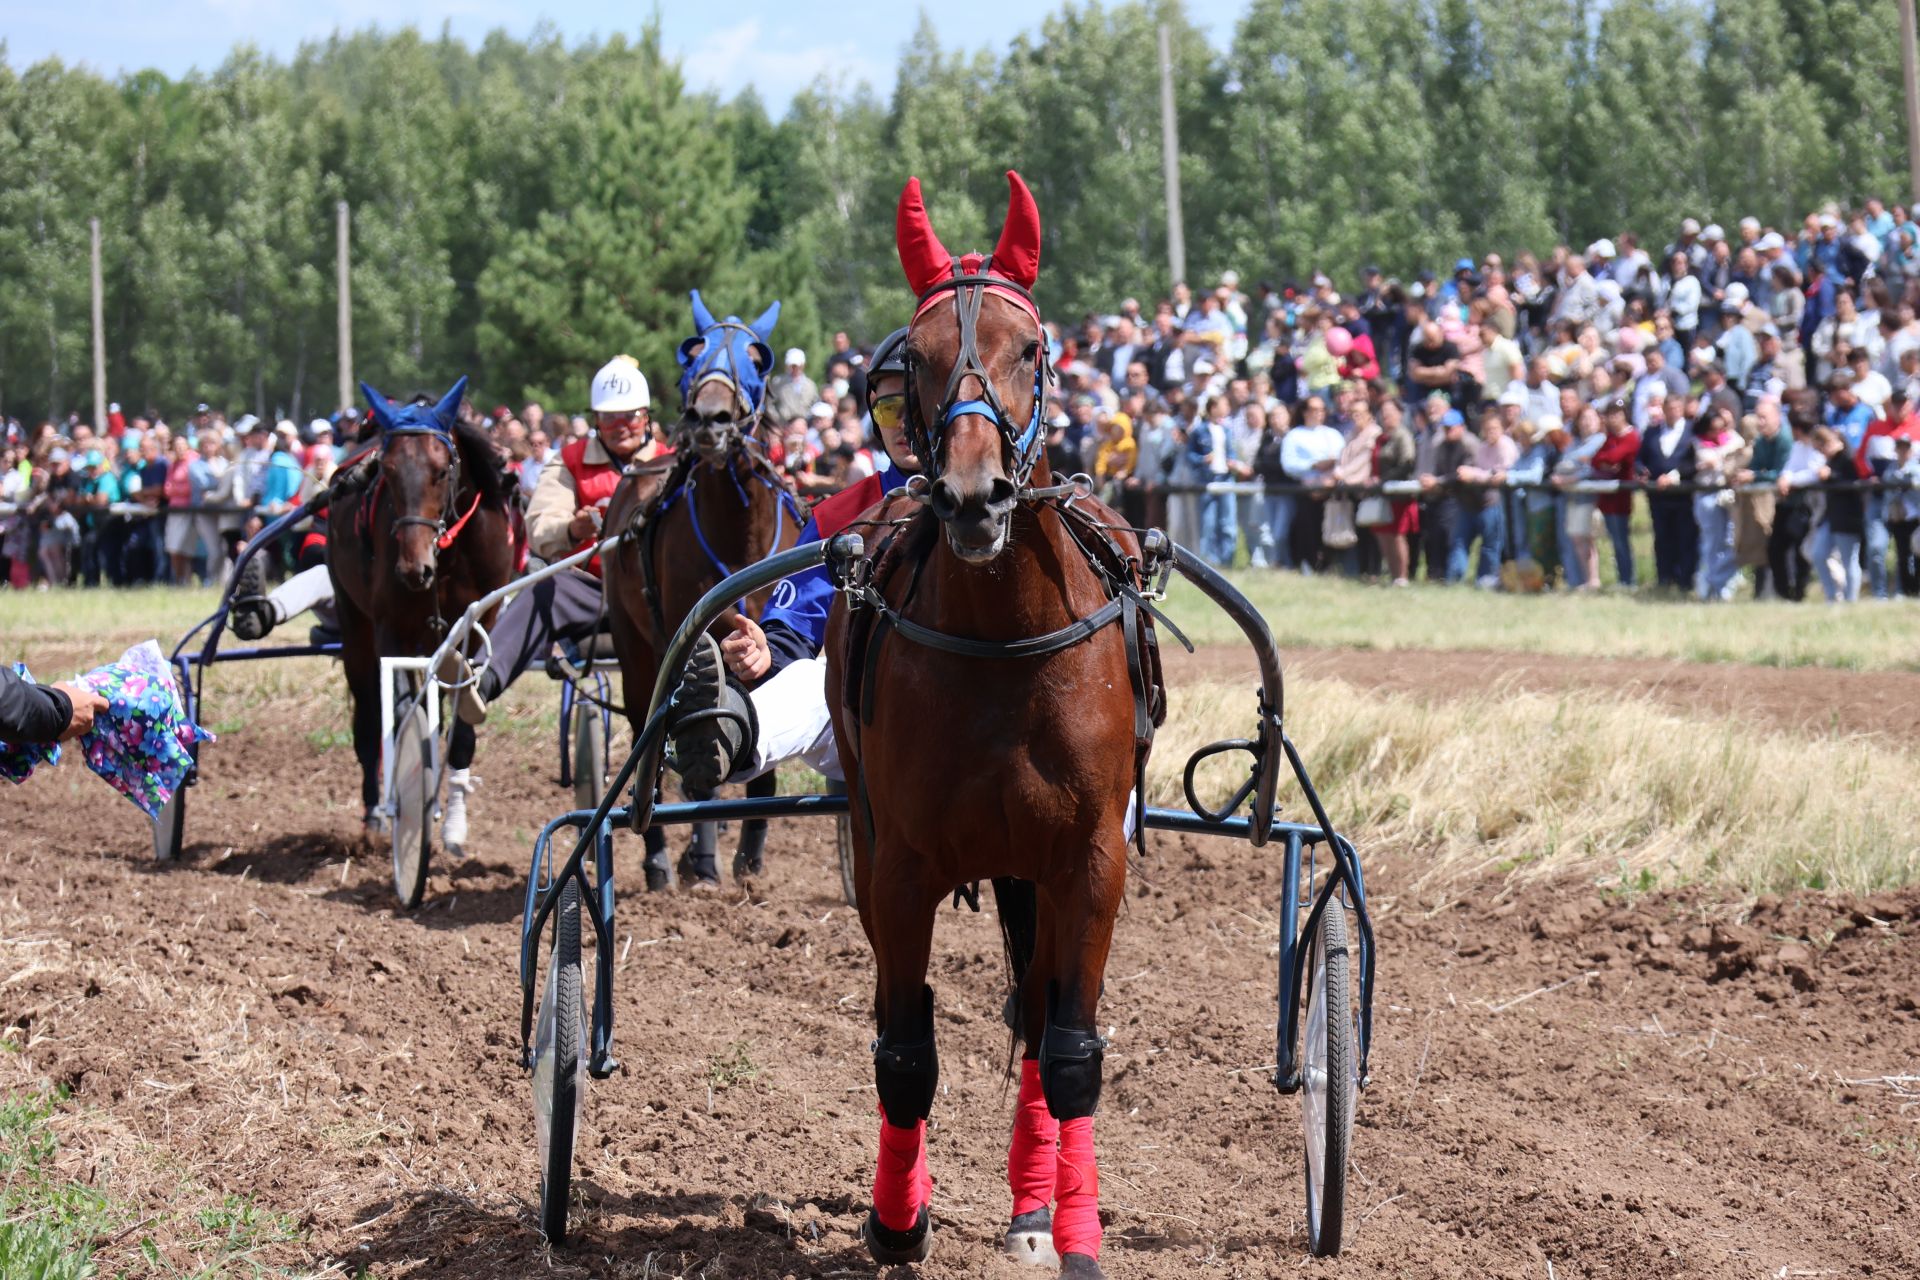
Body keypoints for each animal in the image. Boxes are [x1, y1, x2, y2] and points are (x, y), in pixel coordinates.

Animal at [326, 376, 518, 836]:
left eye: (441, 471)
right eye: (388, 470)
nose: (414, 569)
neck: (447, 556)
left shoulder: (479, 624)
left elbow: (462, 720)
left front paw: (453, 823)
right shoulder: (390, 629)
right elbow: (397, 716)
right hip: (354, 626)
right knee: (367, 719)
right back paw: (374, 814)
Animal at [602, 293, 806, 890]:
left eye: (756, 359)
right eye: (692, 357)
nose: (708, 420)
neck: (736, 533)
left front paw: (750, 860)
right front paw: (704, 859)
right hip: (633, 646)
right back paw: (661, 857)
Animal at [821, 172, 1152, 1280]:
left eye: (1032, 347)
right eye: (914, 360)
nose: (973, 495)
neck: (1005, 634)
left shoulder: (1088, 857)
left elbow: (1072, 1047)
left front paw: (1075, 1233)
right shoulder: (902, 861)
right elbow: (905, 1050)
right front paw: (896, 1220)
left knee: (1039, 1009)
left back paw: (1034, 1204)